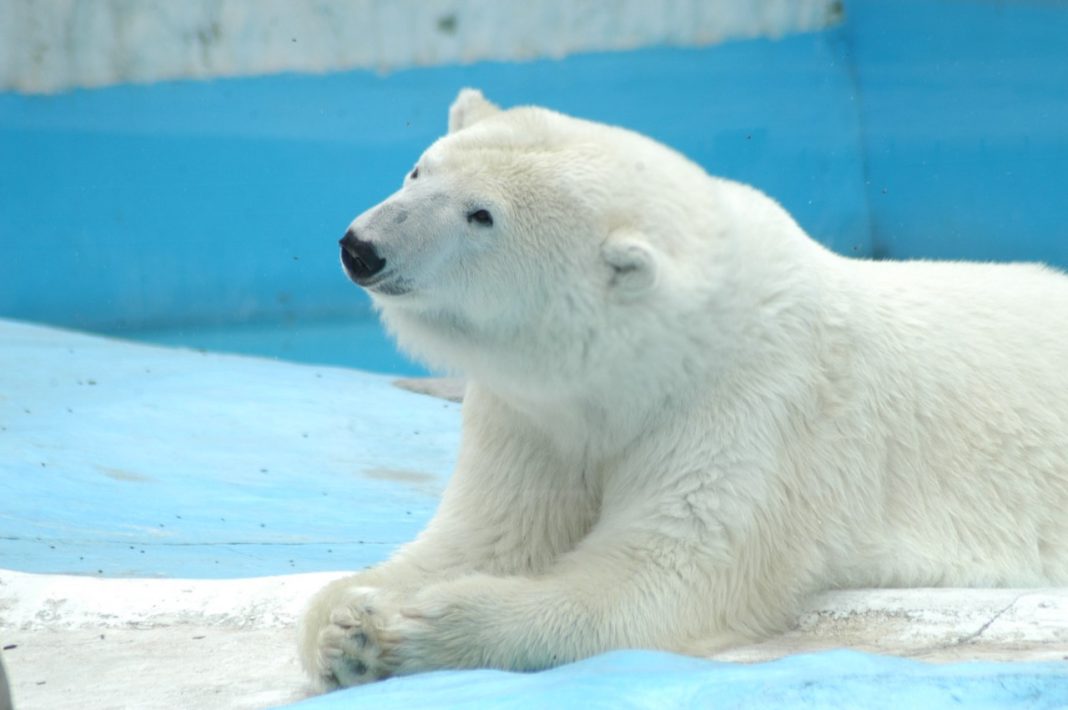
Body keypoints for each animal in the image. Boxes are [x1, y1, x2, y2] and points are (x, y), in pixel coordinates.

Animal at [299, 88, 1068, 687]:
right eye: (418, 169)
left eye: (481, 215)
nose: (362, 247)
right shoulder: (534, 416)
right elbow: (493, 533)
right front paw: (345, 620)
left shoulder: (754, 404)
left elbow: (663, 573)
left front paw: (405, 630)